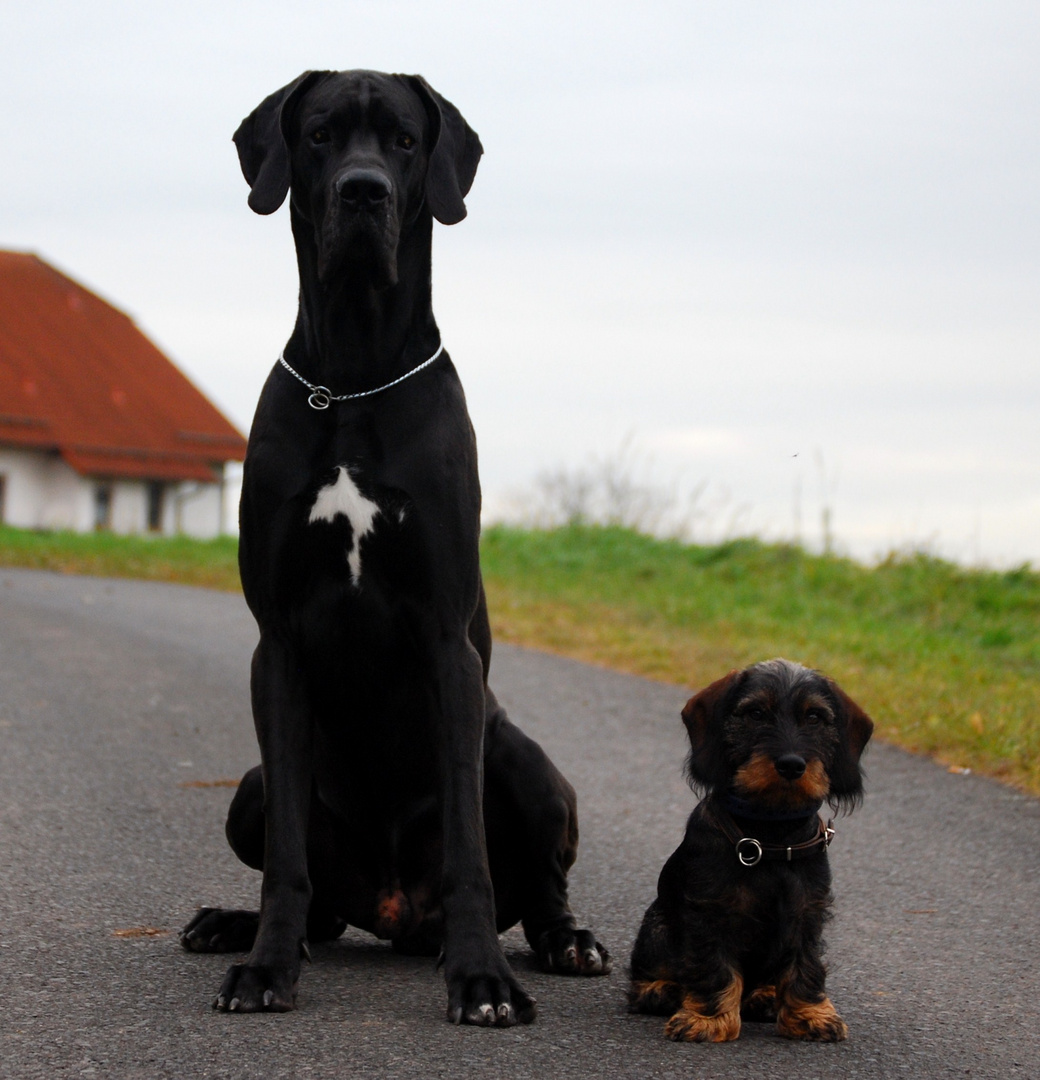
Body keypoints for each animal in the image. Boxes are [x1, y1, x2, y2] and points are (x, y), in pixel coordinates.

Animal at [630, 652, 872, 1041]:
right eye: (756, 713)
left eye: (814, 717)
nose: (791, 765)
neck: (771, 834)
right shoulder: (711, 911)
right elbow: (713, 967)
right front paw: (708, 1019)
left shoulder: (807, 912)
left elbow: (805, 966)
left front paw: (810, 1015)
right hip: (657, 926)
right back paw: (660, 990)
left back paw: (766, 996)